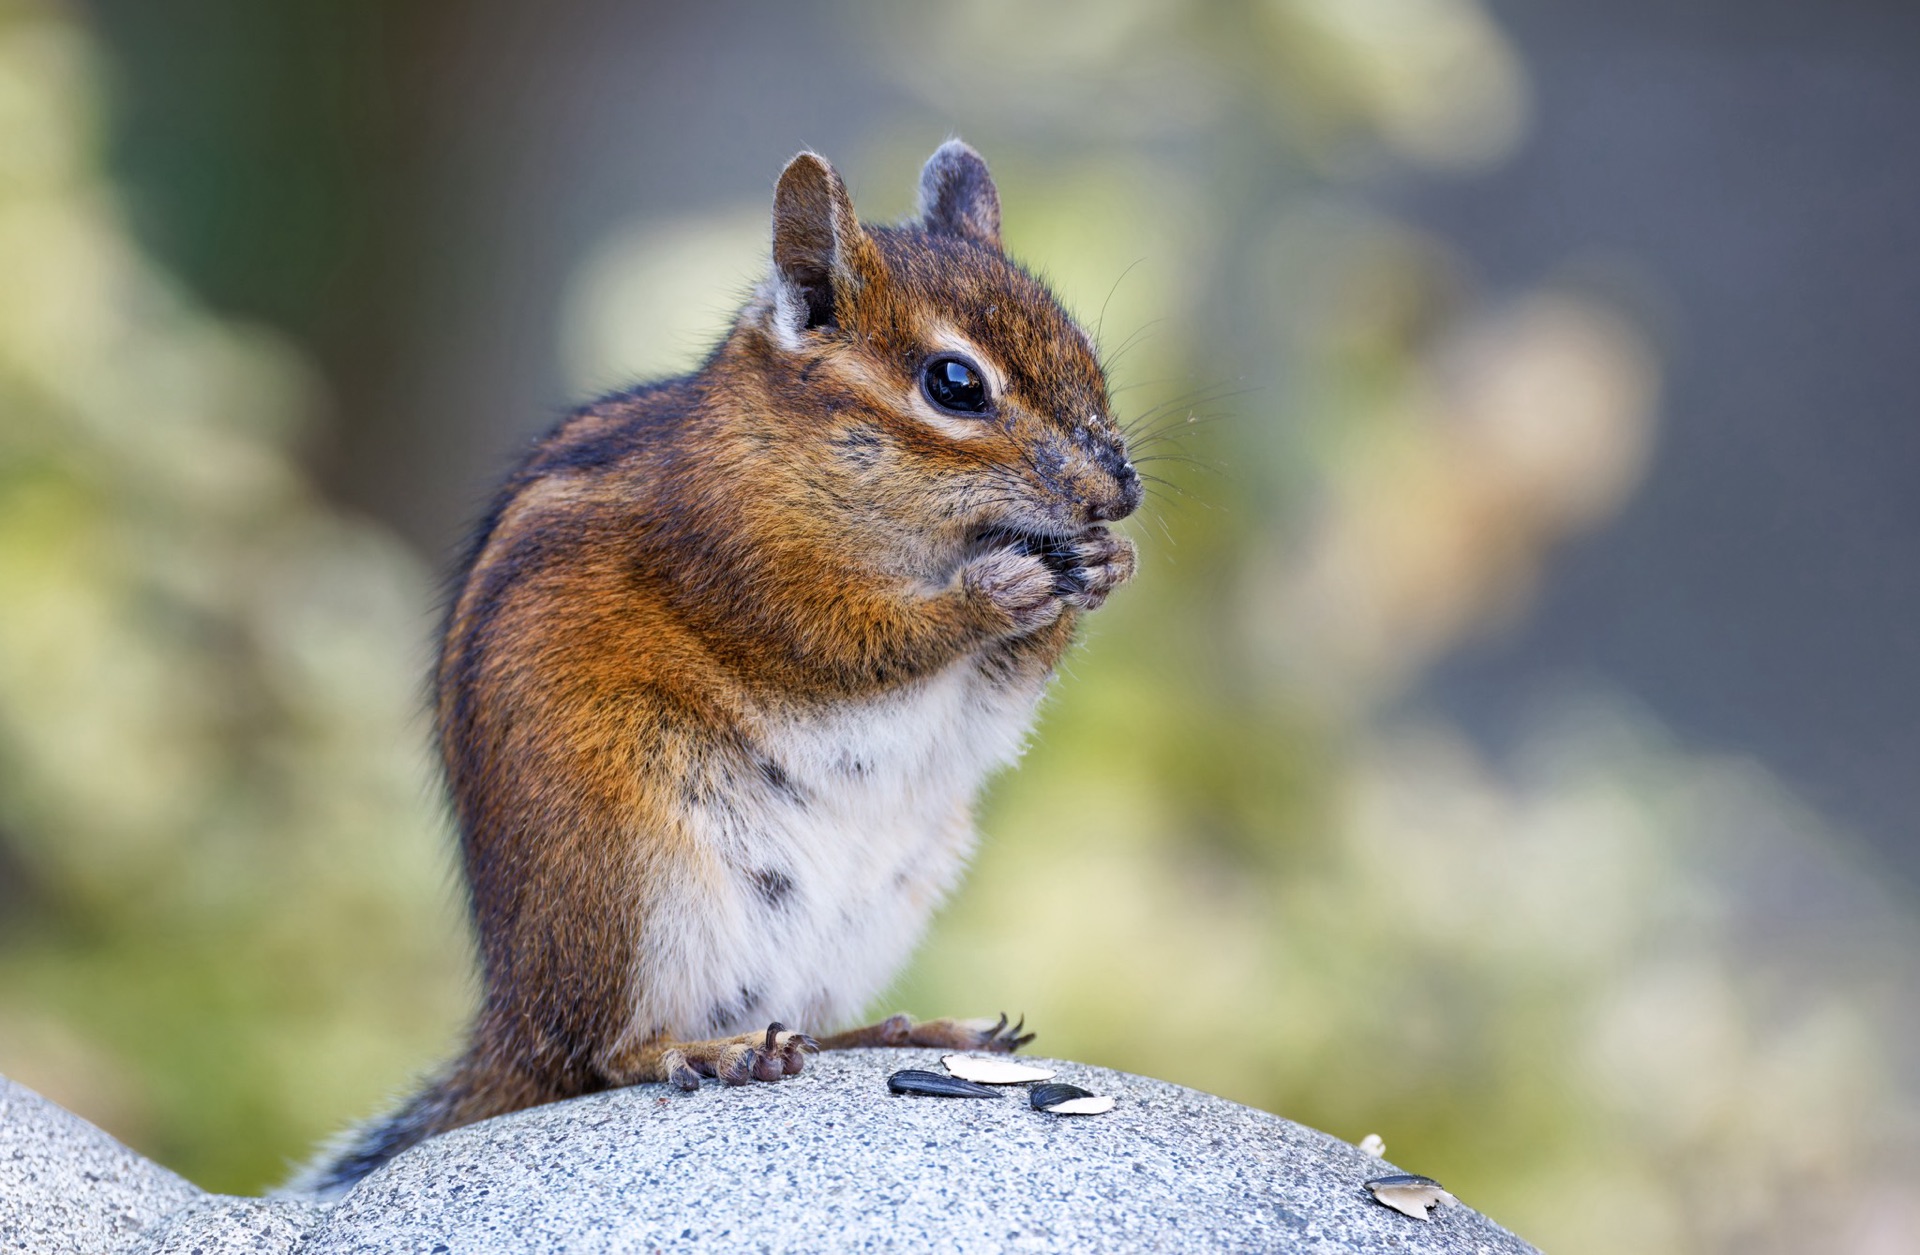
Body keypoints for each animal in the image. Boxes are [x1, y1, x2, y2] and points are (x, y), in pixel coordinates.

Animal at [295, 141, 1141, 1196]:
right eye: (954, 383)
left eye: (1085, 352)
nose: (1121, 491)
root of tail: (516, 1024)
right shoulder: (742, 570)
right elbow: (855, 641)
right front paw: (999, 590)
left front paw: (1106, 565)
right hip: (628, 876)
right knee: (606, 1054)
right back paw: (712, 1050)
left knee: (803, 1021)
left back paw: (905, 1031)